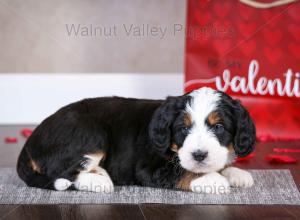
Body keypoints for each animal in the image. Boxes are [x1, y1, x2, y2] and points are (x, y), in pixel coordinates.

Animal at [16, 87, 255, 193]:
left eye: (218, 127)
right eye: (183, 128)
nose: (199, 155)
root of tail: (29, 143)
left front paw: (236, 173)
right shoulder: (147, 167)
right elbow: (181, 171)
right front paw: (213, 179)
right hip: (91, 132)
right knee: (62, 171)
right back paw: (99, 181)